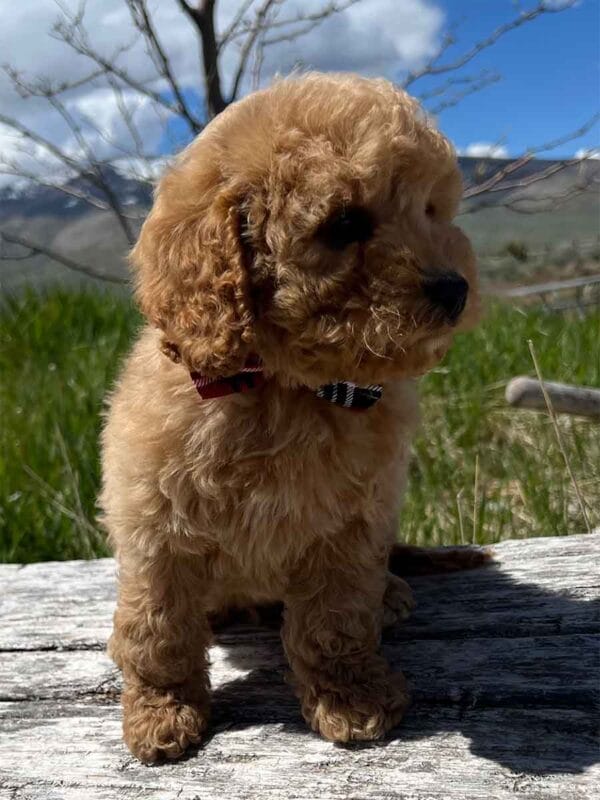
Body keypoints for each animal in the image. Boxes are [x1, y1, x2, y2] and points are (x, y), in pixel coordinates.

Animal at [101, 73, 480, 764]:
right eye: (345, 223)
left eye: (431, 211)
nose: (454, 287)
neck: (284, 387)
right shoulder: (154, 526)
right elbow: (157, 627)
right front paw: (161, 713)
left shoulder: (351, 526)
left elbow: (334, 618)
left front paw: (351, 699)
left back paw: (390, 594)